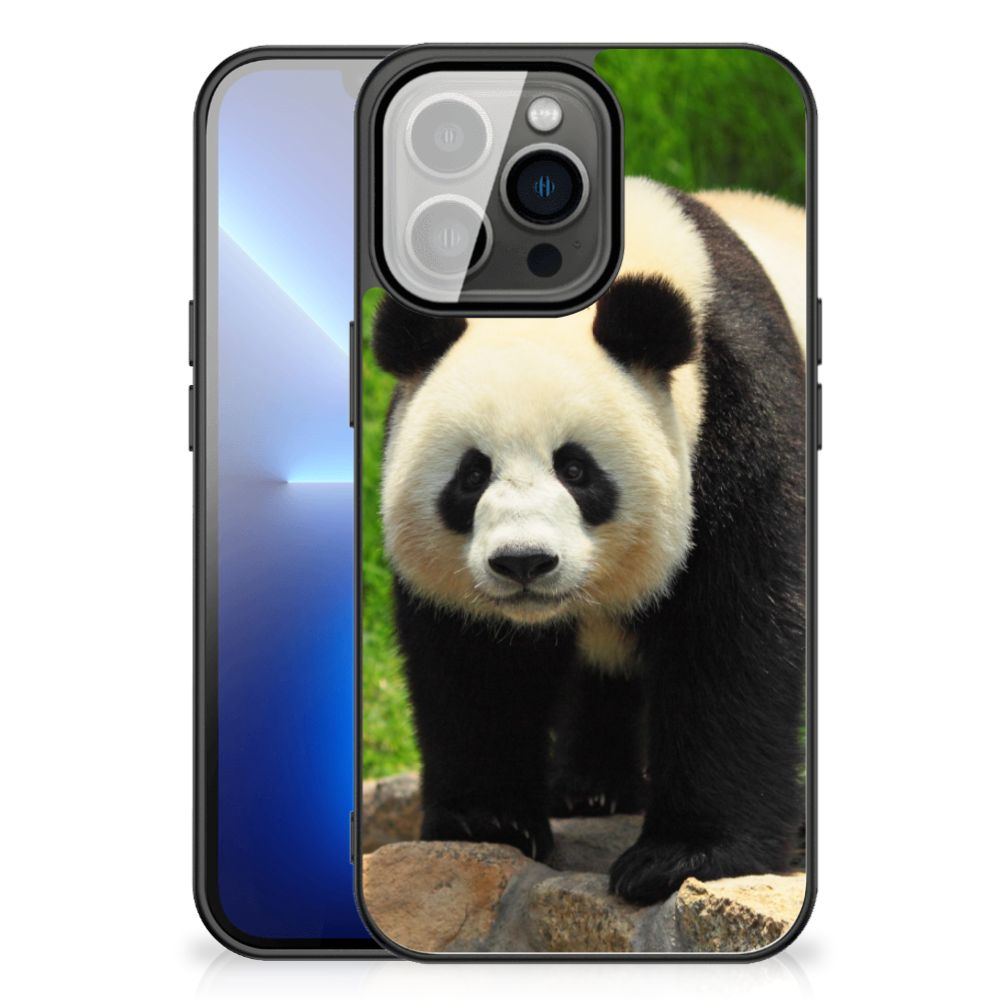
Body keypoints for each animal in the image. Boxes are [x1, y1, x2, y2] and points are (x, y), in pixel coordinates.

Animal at [370, 176, 806, 906]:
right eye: (471, 474)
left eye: (575, 469)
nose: (523, 562)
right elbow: (474, 661)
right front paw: (489, 821)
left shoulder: (740, 418)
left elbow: (736, 635)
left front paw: (682, 856)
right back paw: (591, 790)